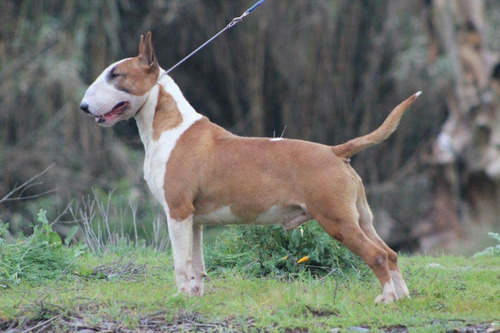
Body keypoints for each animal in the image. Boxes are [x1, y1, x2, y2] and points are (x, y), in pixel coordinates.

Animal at [81, 32, 418, 302]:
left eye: (116, 74)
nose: (83, 107)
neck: (169, 126)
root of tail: (335, 152)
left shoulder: (177, 211)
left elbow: (180, 263)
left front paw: (180, 298)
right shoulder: (194, 219)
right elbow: (196, 264)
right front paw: (195, 297)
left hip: (337, 220)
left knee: (376, 255)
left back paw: (387, 298)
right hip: (360, 218)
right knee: (390, 253)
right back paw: (402, 297)